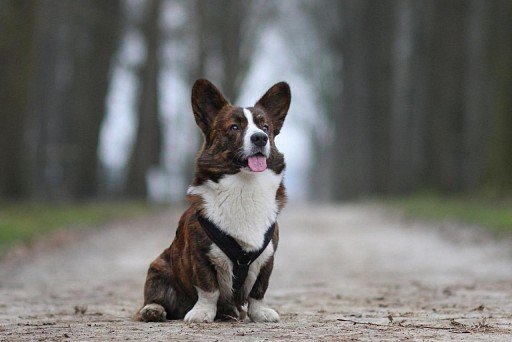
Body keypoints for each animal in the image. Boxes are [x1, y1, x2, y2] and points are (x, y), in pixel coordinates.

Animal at [136, 79, 290, 322]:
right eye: (234, 127)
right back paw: (154, 310)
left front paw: (260, 312)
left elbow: (259, 289)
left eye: (265, 127)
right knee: (155, 297)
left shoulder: (267, 256)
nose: (260, 138)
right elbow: (209, 288)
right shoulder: (200, 255)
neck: (244, 186)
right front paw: (202, 313)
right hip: (158, 266)